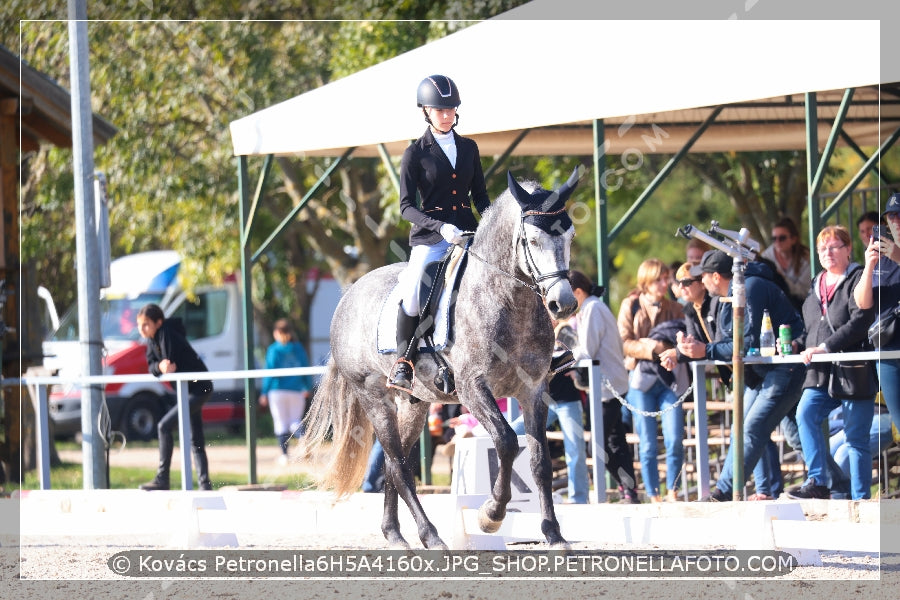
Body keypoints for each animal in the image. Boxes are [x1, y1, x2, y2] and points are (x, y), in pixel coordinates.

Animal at [302, 168, 580, 548]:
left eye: (570, 235)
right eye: (533, 240)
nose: (563, 304)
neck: (510, 303)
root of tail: (349, 296)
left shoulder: (533, 390)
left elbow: (540, 461)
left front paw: (553, 534)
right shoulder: (472, 388)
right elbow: (507, 442)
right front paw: (490, 515)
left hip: (414, 404)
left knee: (394, 464)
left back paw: (395, 535)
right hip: (374, 397)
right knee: (399, 464)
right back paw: (430, 536)